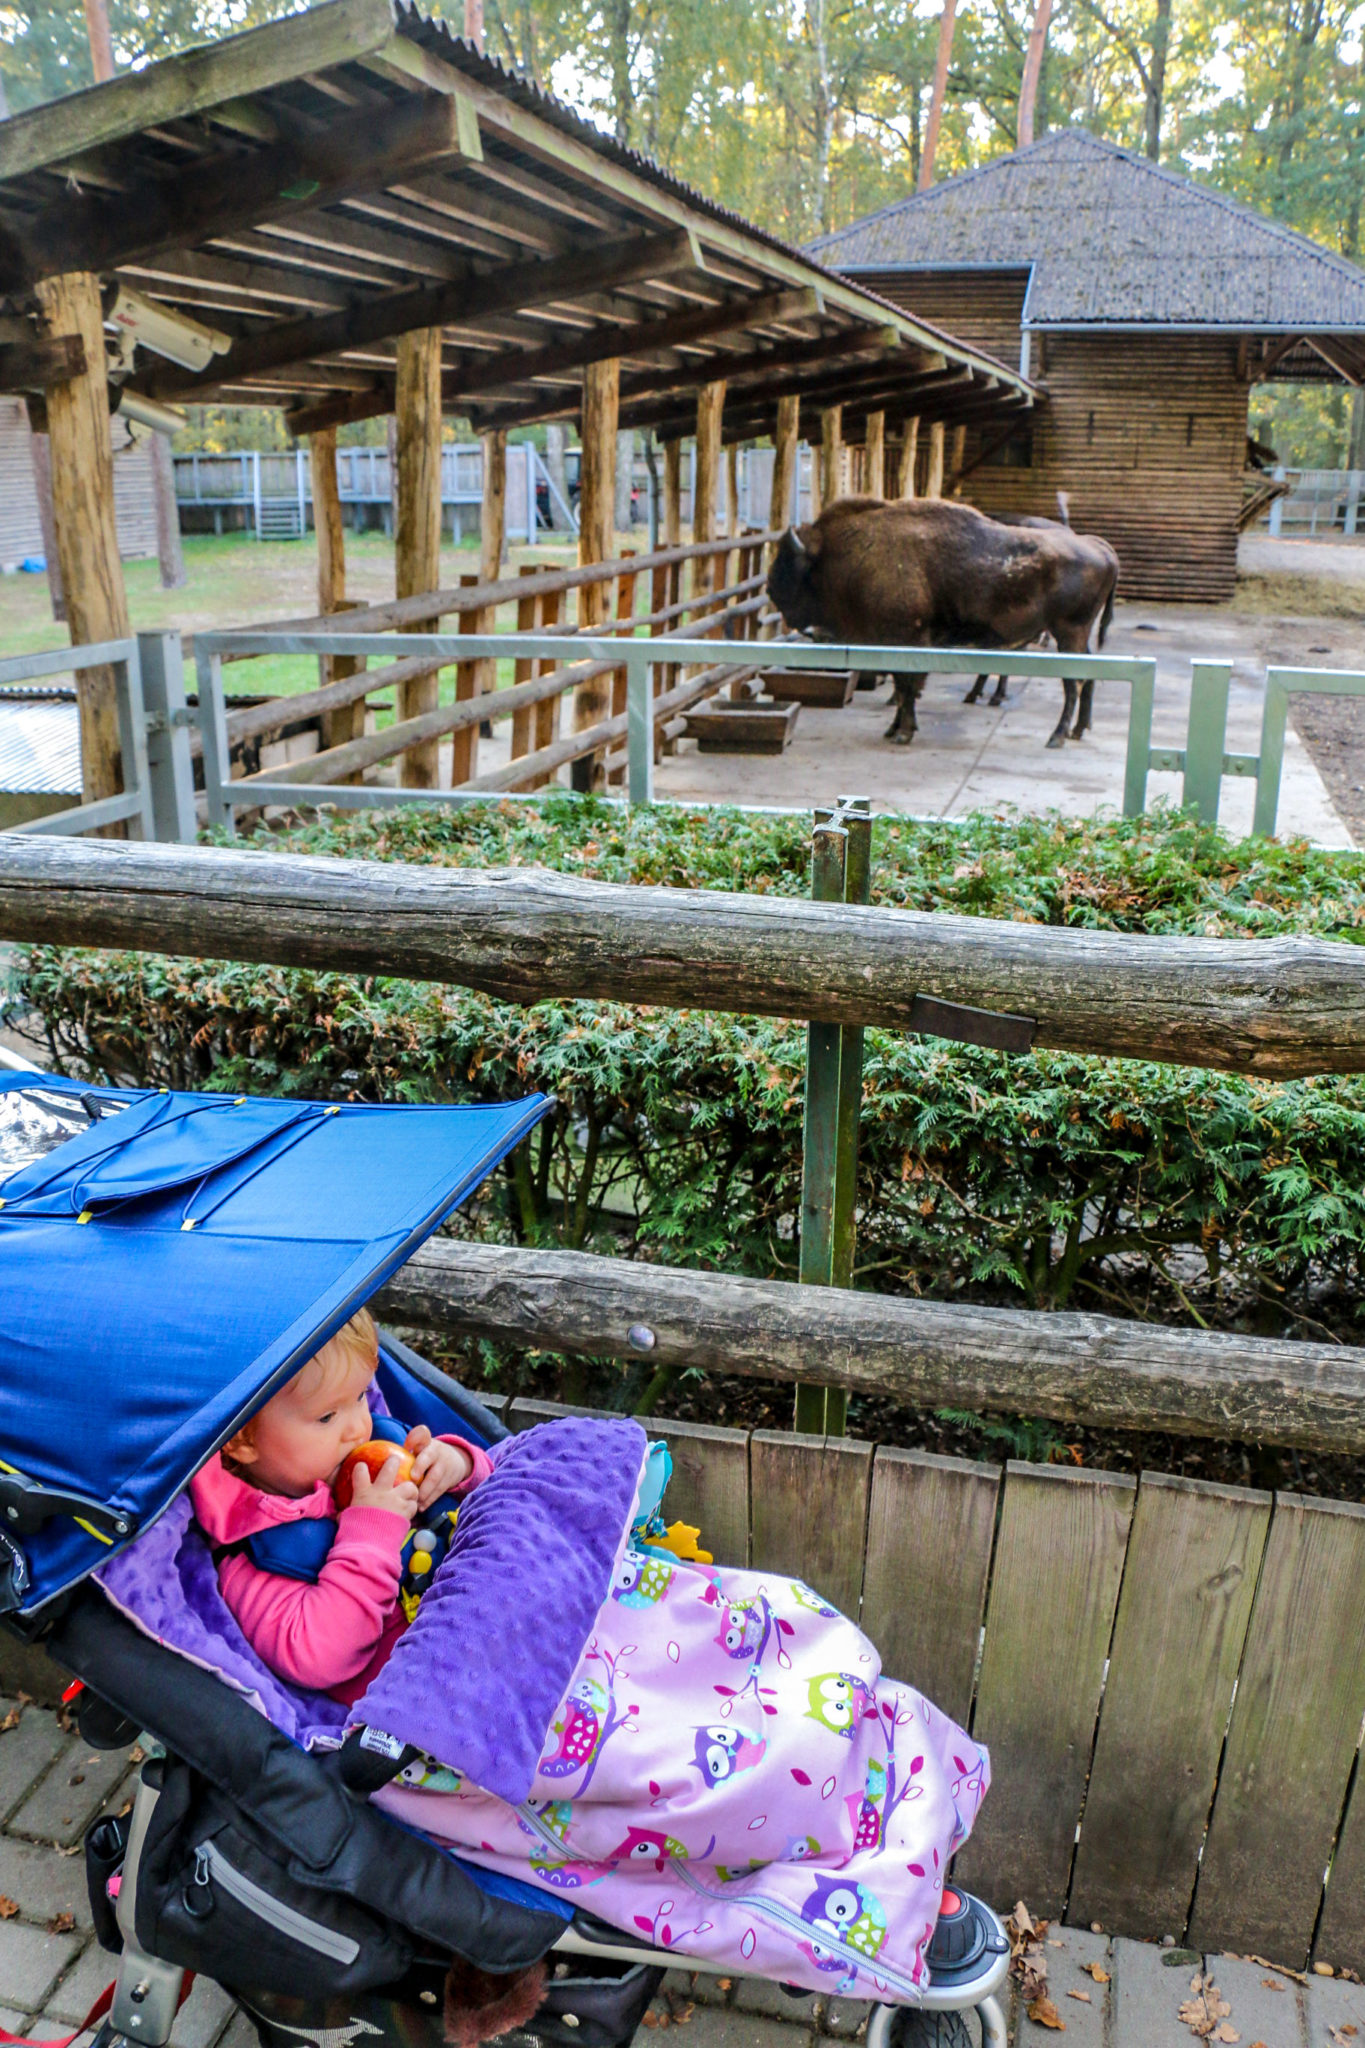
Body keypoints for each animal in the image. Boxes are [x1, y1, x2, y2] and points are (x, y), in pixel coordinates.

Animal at [769, 497, 1121, 749]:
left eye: (790, 565)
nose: (771, 590)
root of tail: (1100, 547)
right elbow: (902, 687)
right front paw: (894, 729)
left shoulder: (907, 641)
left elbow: (907, 686)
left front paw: (903, 732)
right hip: (1077, 636)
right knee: (1088, 677)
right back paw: (1078, 730)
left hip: (1069, 633)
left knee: (1072, 683)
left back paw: (1057, 736)